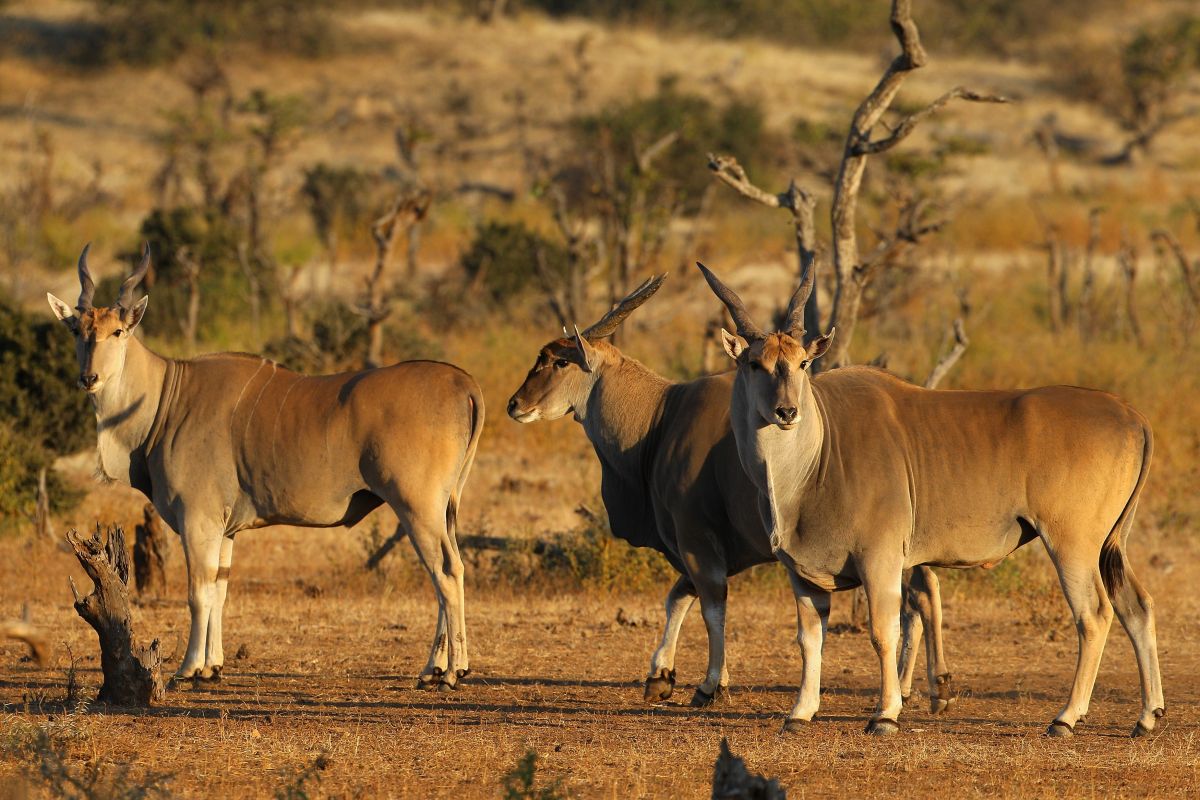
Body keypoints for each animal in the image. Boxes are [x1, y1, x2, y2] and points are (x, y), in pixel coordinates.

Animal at [50, 244, 482, 690]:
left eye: (117, 332)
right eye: (77, 331)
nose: (89, 378)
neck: (167, 396)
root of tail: (464, 384)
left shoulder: (198, 519)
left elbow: (198, 592)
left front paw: (188, 668)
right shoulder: (224, 530)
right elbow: (219, 590)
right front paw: (212, 667)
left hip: (417, 507)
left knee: (446, 572)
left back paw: (452, 671)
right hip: (443, 509)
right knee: (453, 568)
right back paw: (436, 668)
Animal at [506, 277, 955, 714]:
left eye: (559, 361)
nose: (515, 404)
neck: (662, 416)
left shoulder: (696, 538)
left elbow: (708, 606)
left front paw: (709, 686)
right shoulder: (702, 545)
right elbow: (679, 597)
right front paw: (661, 676)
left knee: (916, 597)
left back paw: (924, 688)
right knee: (924, 592)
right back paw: (926, 687)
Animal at [696, 262, 1161, 738]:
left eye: (802, 362)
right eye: (755, 363)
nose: (787, 412)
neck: (820, 456)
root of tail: (1132, 415)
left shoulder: (880, 559)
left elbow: (883, 633)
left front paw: (885, 714)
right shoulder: (802, 574)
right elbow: (810, 640)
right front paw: (799, 713)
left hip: (1072, 545)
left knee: (1095, 614)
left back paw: (1065, 717)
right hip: (1108, 545)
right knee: (1136, 605)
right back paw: (1147, 715)